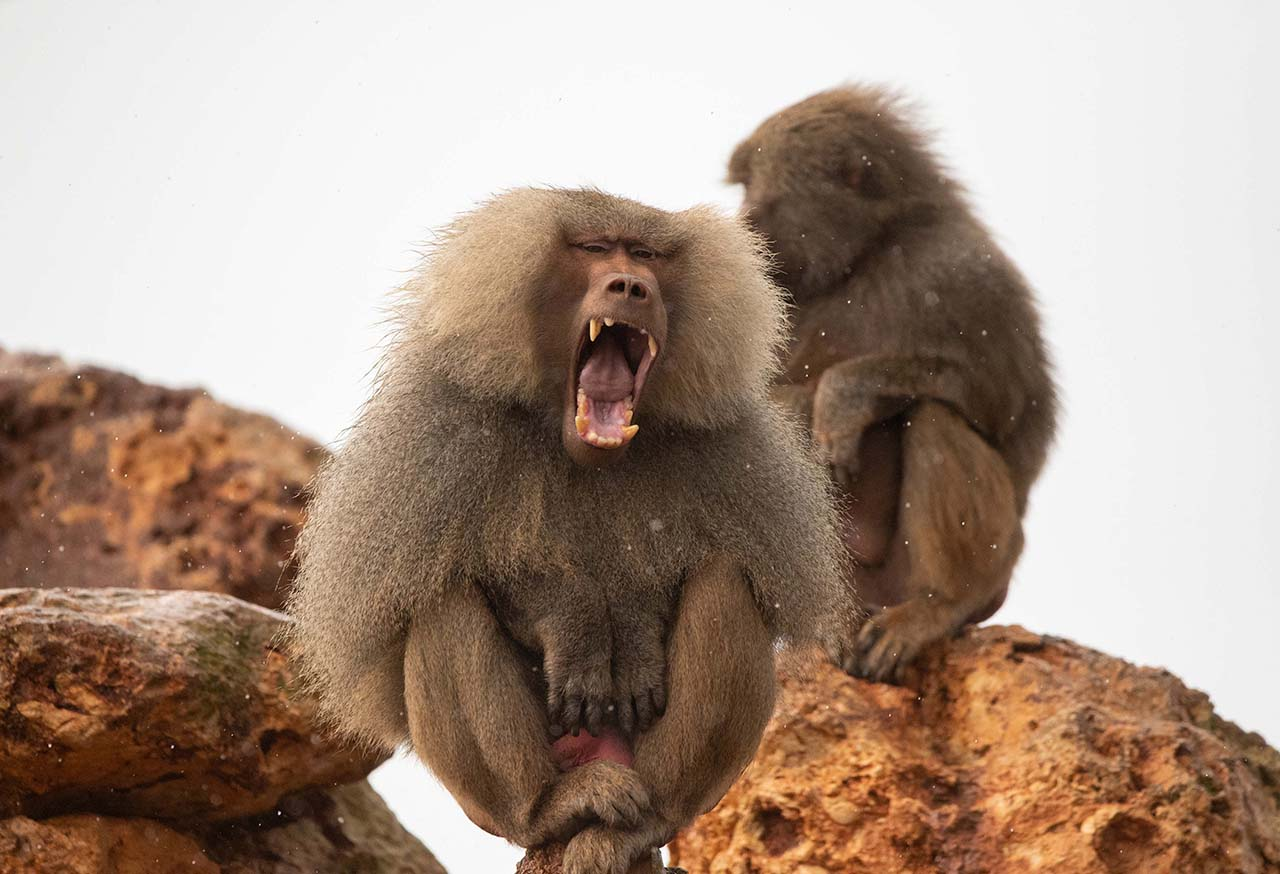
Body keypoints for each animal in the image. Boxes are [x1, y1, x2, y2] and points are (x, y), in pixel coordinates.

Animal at [285, 188, 847, 874]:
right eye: (595, 248)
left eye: (648, 255)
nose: (631, 286)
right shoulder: (437, 435)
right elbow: (477, 572)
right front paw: (578, 628)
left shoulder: (735, 451)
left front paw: (632, 631)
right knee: (441, 599)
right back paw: (548, 808)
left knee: (724, 581)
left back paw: (644, 820)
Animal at [727, 86, 1057, 683]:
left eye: (751, 185)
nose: (742, 222)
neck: (866, 255)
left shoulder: (963, 271)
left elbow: (1001, 399)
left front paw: (839, 398)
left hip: (978, 563)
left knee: (931, 416)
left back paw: (937, 606)